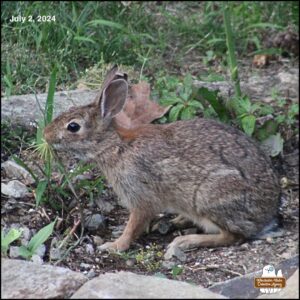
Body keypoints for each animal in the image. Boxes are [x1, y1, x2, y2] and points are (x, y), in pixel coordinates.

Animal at [44, 65, 282, 258]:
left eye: (73, 127)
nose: (46, 135)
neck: (115, 146)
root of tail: (267, 214)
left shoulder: (140, 196)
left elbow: (133, 225)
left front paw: (114, 245)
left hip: (210, 197)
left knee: (232, 236)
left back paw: (184, 240)